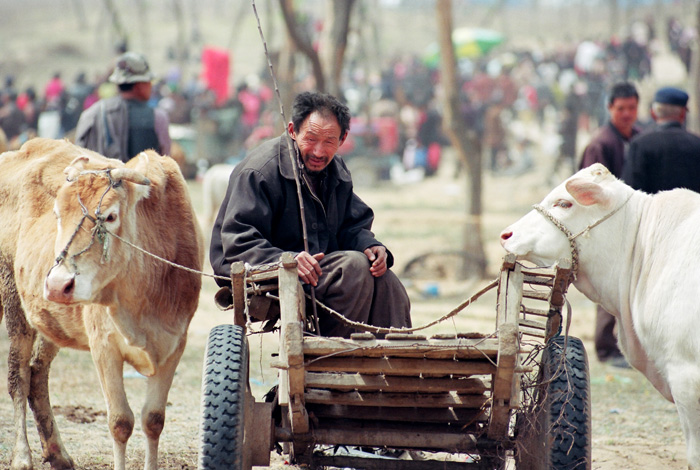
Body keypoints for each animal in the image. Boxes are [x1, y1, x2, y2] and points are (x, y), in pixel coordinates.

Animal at [0, 139, 202, 470]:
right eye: (57, 213)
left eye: (109, 216)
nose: (57, 284)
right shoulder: (104, 346)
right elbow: (120, 422)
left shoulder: (174, 344)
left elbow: (153, 419)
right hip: (14, 301)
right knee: (19, 374)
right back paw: (22, 455)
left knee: (37, 373)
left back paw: (57, 452)